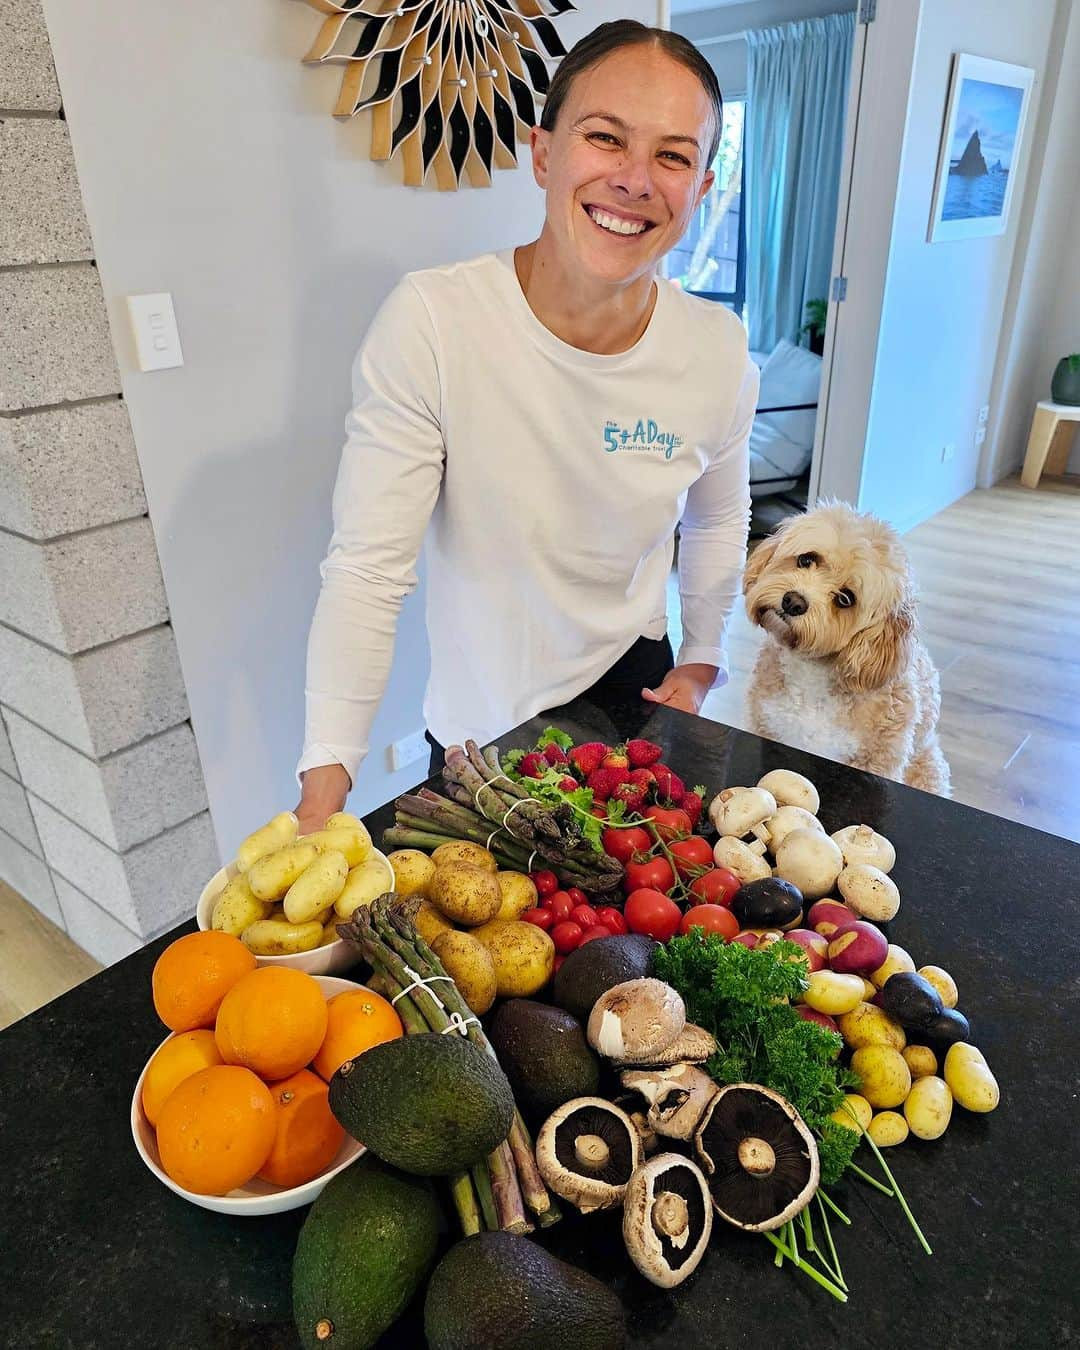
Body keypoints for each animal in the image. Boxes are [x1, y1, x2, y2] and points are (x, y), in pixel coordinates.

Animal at [745, 502, 950, 793]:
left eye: (845, 598)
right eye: (806, 559)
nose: (792, 602)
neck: (811, 673)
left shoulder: (877, 760)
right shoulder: (766, 727)